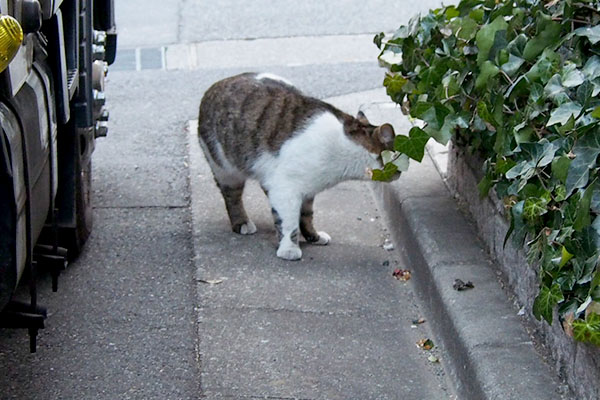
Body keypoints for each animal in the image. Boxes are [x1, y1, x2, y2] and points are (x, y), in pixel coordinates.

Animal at [198, 73, 394, 260]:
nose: (398, 174)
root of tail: (215, 85)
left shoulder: (306, 189)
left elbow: (306, 216)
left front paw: (313, 236)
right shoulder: (286, 188)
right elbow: (289, 222)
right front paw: (289, 249)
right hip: (224, 168)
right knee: (232, 196)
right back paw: (242, 223)